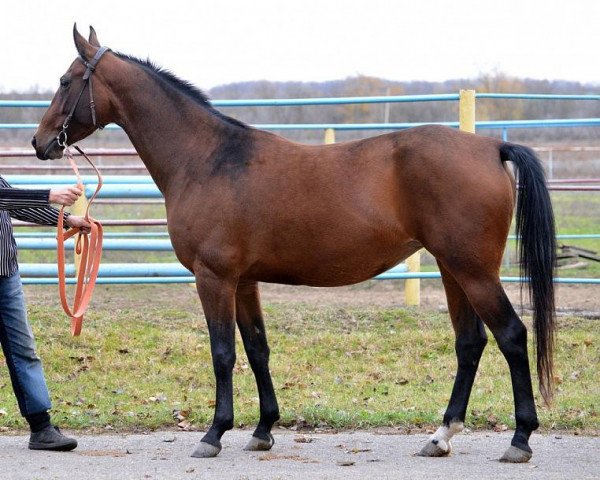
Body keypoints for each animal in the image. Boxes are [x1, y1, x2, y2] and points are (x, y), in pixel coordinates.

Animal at [32, 25, 556, 462]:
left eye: (65, 81)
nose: (40, 142)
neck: (207, 160)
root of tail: (490, 147)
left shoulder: (213, 278)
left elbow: (223, 353)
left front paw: (213, 434)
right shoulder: (244, 282)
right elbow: (257, 349)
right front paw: (263, 430)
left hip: (473, 271)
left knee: (512, 336)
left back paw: (520, 439)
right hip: (452, 269)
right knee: (470, 343)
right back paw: (441, 436)